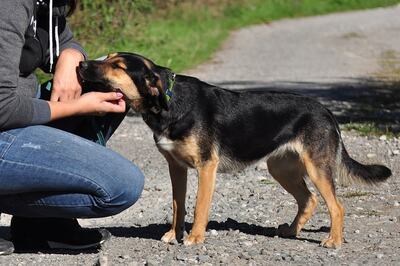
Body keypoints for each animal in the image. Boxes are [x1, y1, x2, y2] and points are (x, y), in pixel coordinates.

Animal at [78, 53, 390, 248]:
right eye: (107, 58)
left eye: (118, 66)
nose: (80, 64)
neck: (168, 102)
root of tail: (326, 111)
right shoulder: (176, 167)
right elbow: (178, 206)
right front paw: (172, 234)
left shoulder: (206, 166)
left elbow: (199, 206)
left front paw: (194, 238)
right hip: (281, 168)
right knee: (309, 199)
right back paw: (291, 231)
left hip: (316, 167)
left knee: (336, 206)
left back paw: (333, 241)